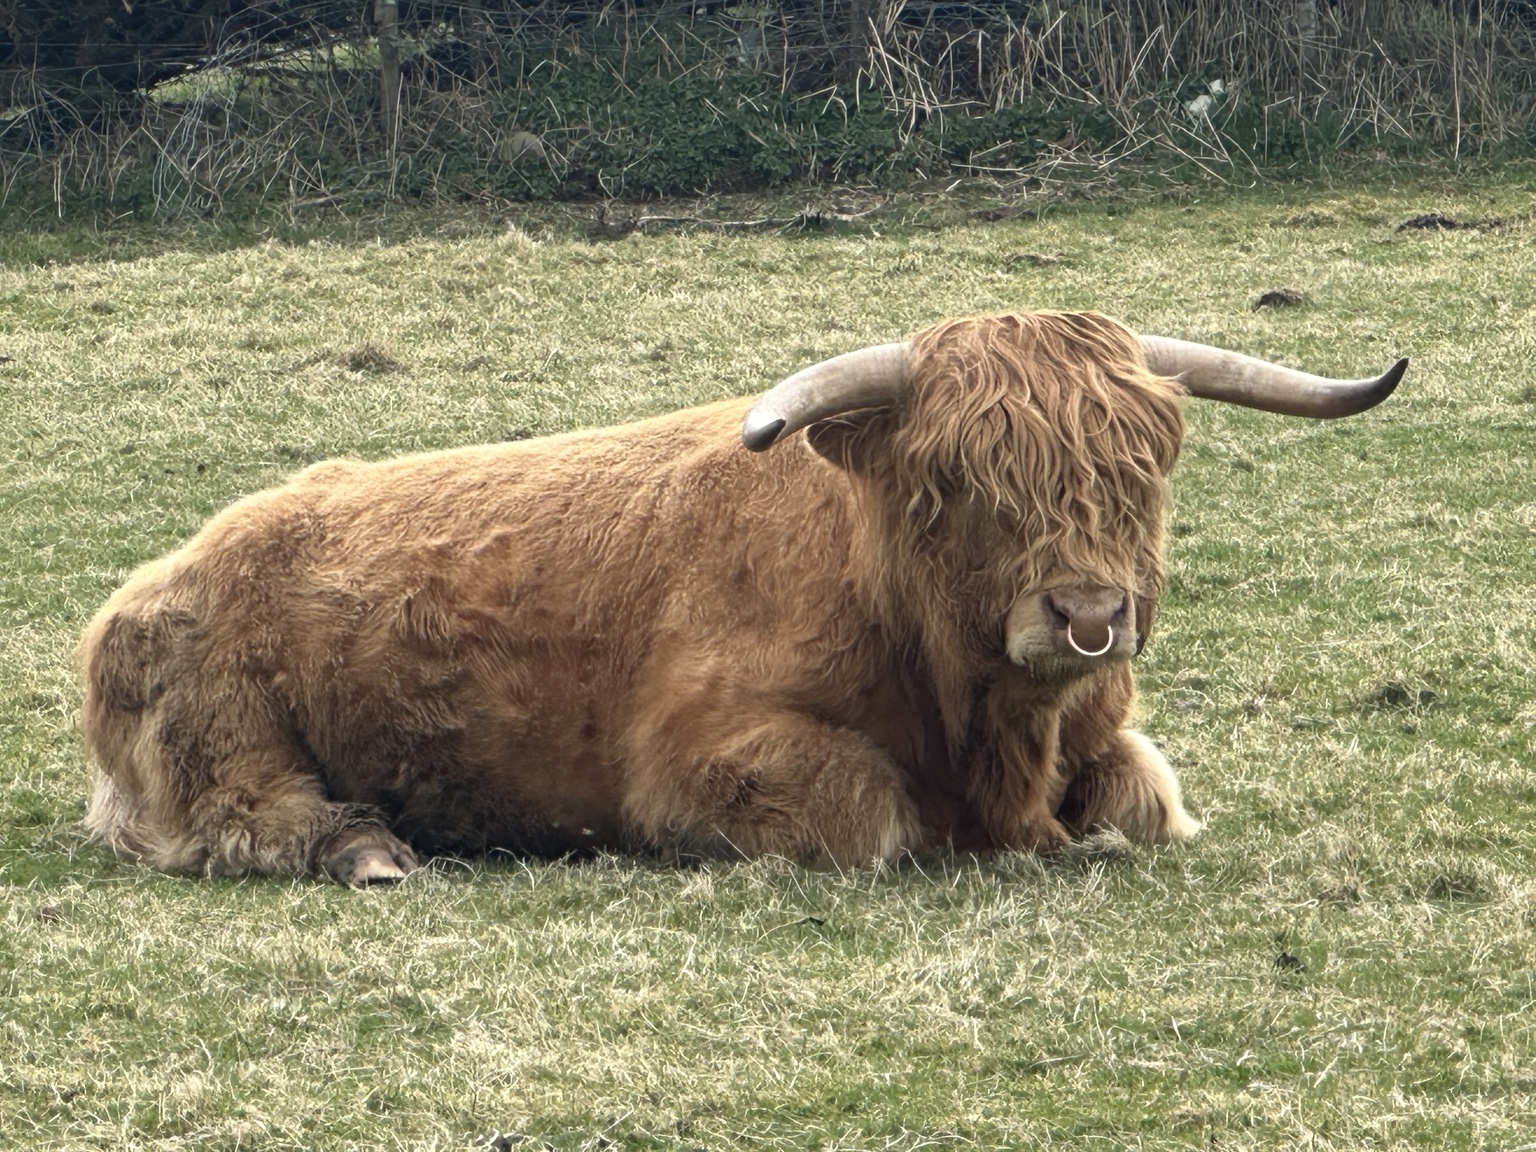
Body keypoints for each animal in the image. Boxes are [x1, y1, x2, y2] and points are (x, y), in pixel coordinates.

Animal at [78, 310, 1405, 885]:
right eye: (957, 481)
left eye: (1141, 469)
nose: (1088, 617)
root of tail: (153, 583)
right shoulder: (699, 763)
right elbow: (867, 816)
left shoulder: (1103, 739)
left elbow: (1141, 800)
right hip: (225, 742)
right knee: (250, 819)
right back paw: (369, 852)